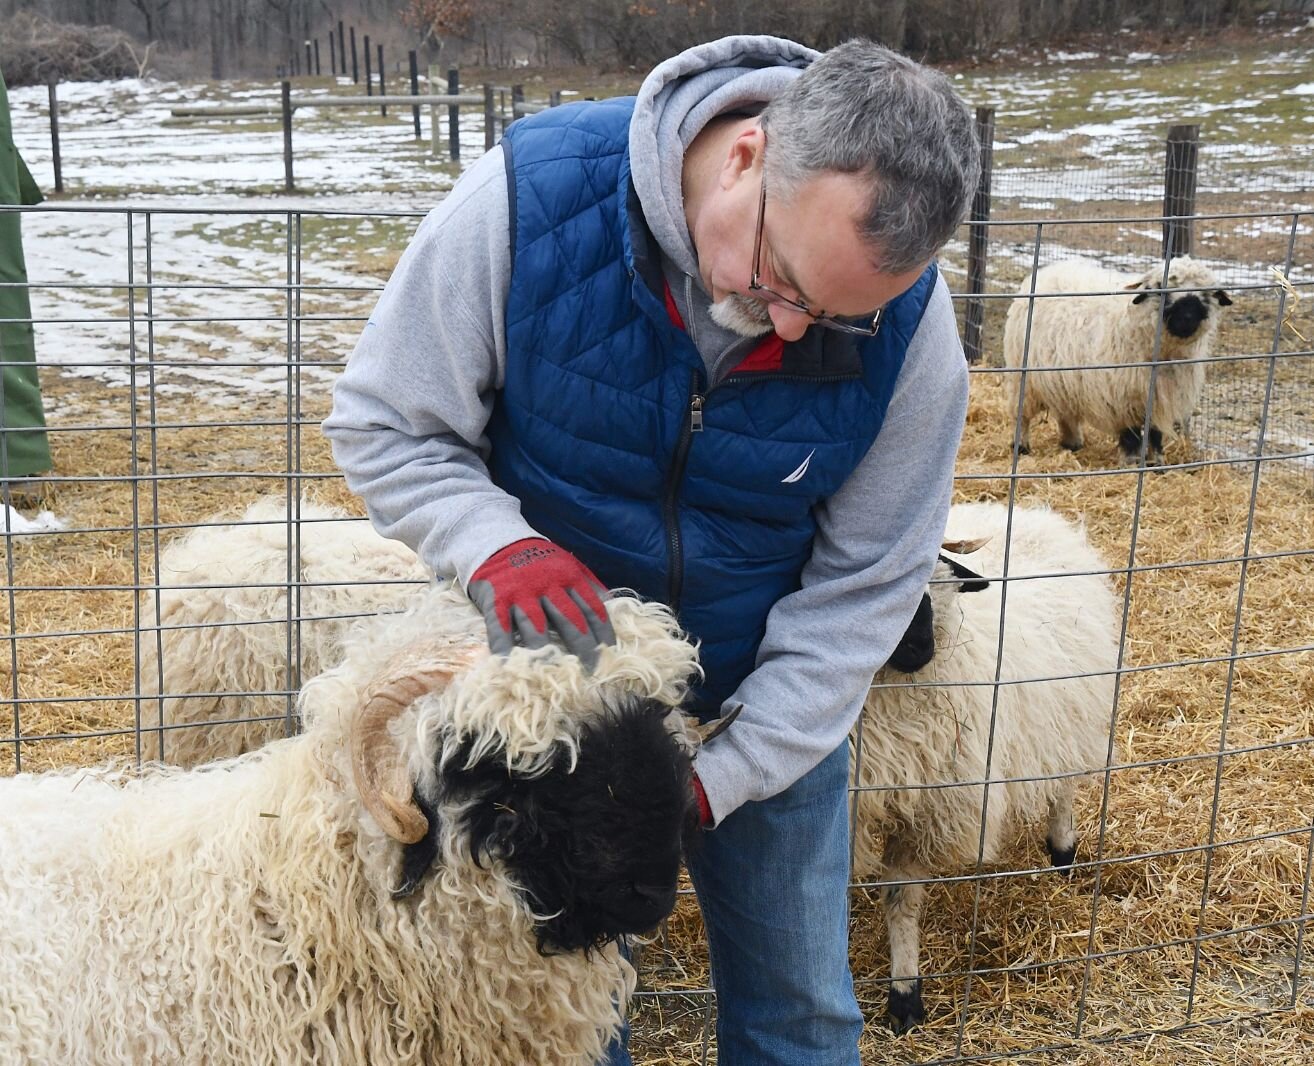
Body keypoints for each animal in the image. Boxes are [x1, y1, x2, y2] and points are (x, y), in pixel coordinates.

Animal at [851, 499, 1119, 1035]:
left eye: (938, 579)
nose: (920, 649)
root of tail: (1024, 511)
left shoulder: (931, 811)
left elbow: (901, 901)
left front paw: (905, 995)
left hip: (1066, 715)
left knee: (1062, 785)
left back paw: (1063, 851)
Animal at [1003, 256, 1229, 465]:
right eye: (1160, 288)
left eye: (1208, 294)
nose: (1187, 318)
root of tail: (1048, 270)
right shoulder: (1122, 397)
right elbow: (1131, 436)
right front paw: (1131, 463)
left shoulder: (1157, 397)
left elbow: (1155, 434)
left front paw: (1157, 464)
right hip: (1024, 376)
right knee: (1021, 414)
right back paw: (1021, 446)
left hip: (1062, 378)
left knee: (1065, 409)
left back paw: (1072, 442)